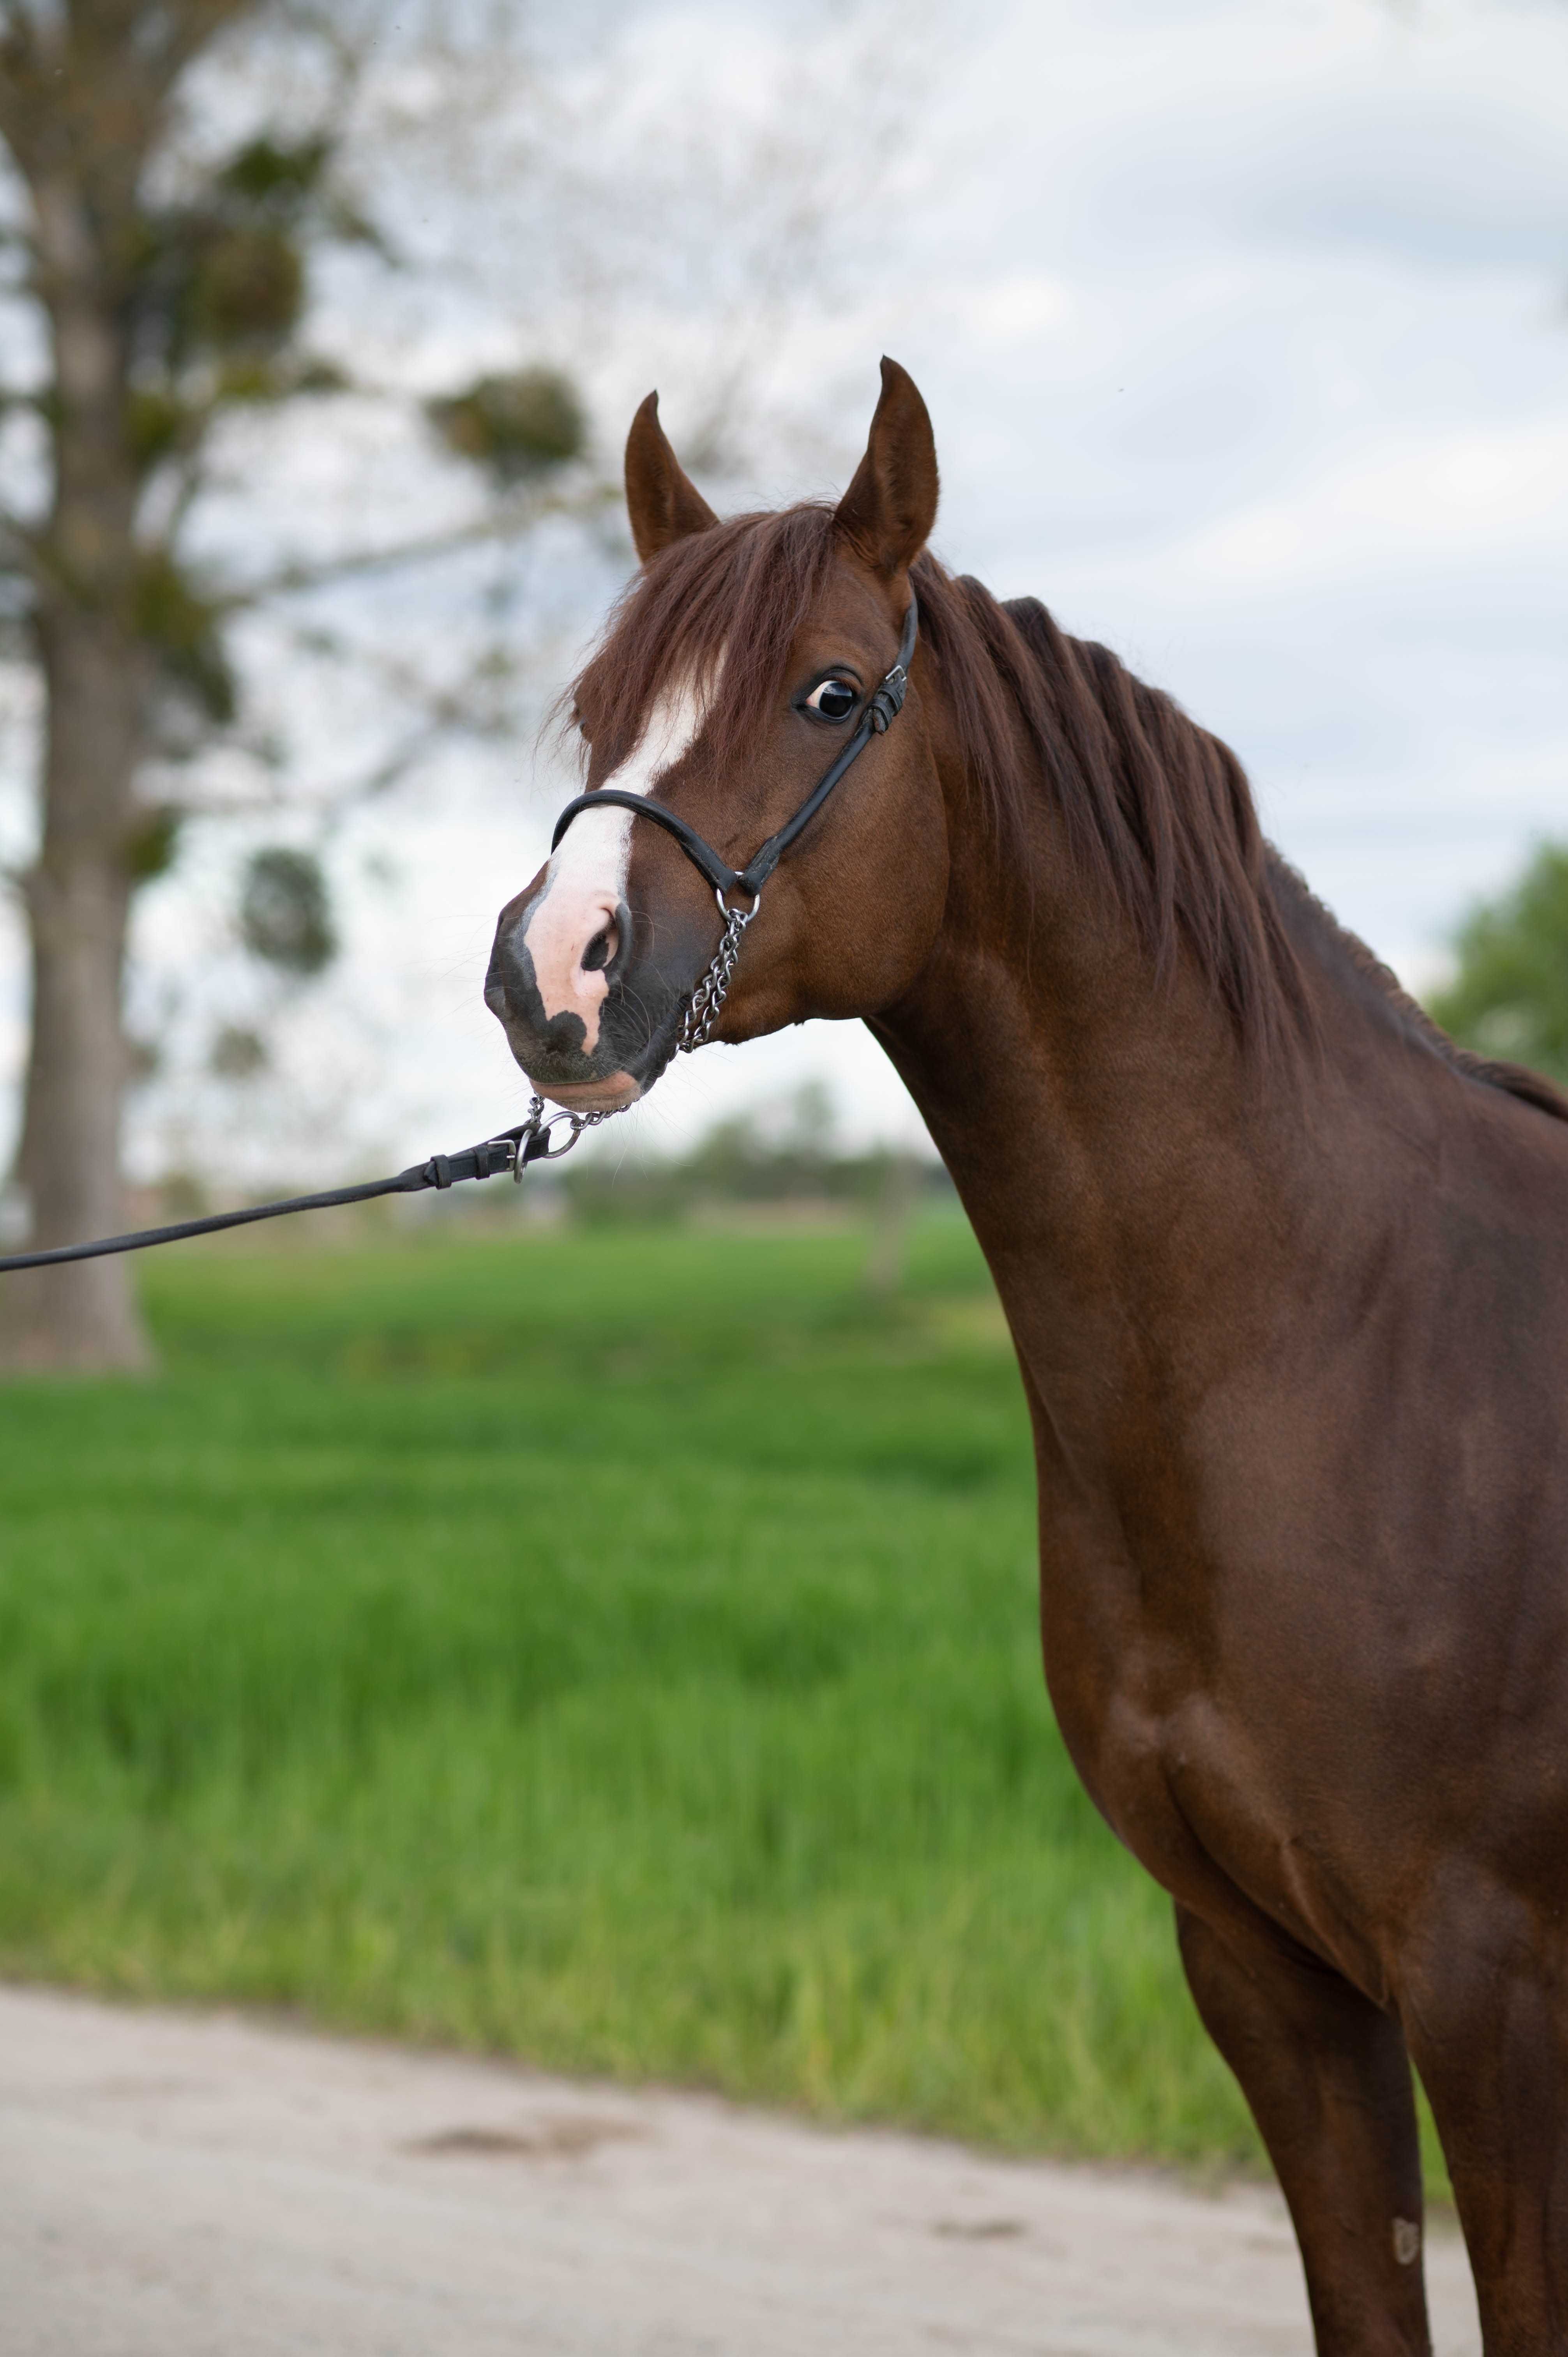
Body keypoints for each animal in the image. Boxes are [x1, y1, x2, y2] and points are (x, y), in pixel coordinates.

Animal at [486, 358, 1565, 2347]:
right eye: (598, 713)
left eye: (830, 693)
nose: (553, 975)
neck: (1345, 1349)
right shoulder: (1266, 1974)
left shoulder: (1493, 1987)